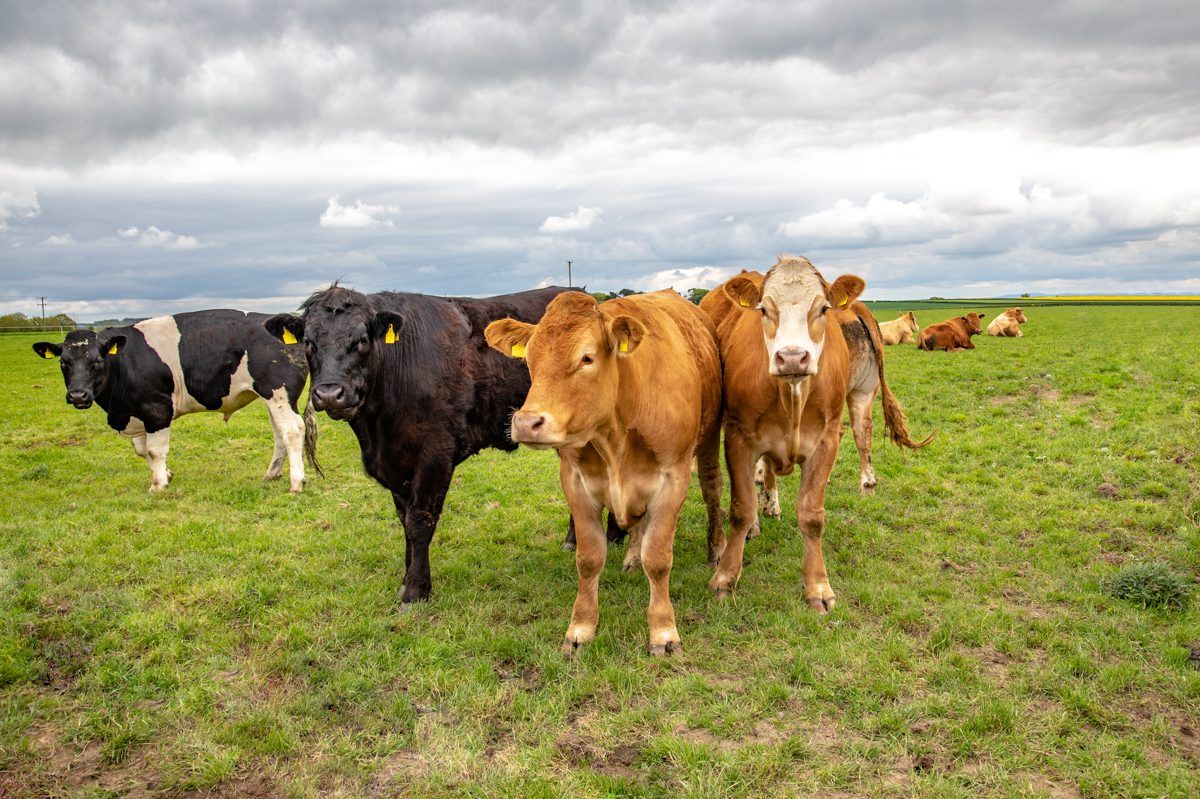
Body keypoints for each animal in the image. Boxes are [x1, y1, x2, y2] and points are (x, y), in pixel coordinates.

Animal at [32, 311, 319, 492]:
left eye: (98, 361)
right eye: (63, 363)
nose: (78, 395)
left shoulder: (157, 410)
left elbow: (154, 450)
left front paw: (158, 484)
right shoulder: (136, 411)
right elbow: (141, 450)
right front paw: (165, 475)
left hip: (277, 392)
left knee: (293, 430)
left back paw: (297, 482)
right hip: (274, 398)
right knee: (280, 433)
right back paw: (271, 473)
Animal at [264, 284, 569, 604]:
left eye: (362, 340)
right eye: (308, 342)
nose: (329, 394)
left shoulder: (435, 454)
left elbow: (419, 521)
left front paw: (415, 591)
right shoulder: (394, 463)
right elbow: (404, 519)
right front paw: (406, 579)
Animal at [485, 289, 722, 656]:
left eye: (587, 358)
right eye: (529, 360)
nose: (526, 423)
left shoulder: (674, 479)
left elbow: (659, 558)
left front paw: (664, 632)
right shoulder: (575, 482)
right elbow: (589, 558)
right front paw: (580, 628)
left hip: (709, 441)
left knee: (712, 492)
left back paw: (714, 553)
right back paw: (632, 558)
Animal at [706, 256, 921, 612]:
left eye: (822, 308)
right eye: (764, 309)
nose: (792, 357)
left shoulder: (827, 440)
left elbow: (812, 515)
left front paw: (818, 586)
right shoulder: (738, 437)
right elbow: (741, 508)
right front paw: (725, 578)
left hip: (862, 393)